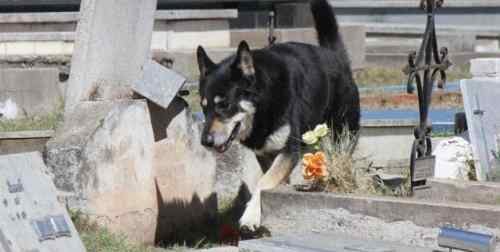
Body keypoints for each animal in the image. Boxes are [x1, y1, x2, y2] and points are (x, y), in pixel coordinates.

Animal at [195, 0, 360, 230]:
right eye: (204, 107)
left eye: (225, 104)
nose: (205, 142)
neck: (264, 103)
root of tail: (335, 55)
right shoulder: (265, 153)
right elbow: (268, 180)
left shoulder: (289, 149)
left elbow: (262, 183)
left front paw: (250, 216)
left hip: (342, 135)